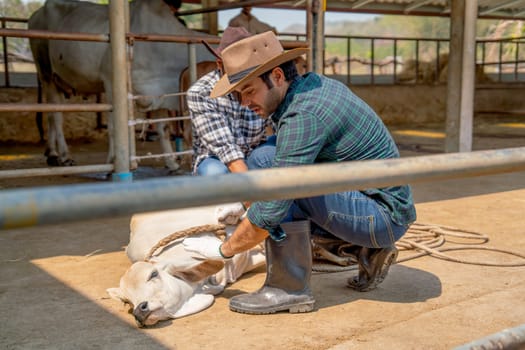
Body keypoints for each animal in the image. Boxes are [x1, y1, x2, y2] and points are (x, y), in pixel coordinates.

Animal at [27, 0, 213, 170]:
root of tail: (37, 13)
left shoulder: (156, 94)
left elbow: (164, 128)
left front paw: (171, 163)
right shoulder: (111, 82)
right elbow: (114, 126)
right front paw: (113, 161)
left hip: (59, 80)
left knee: (51, 113)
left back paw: (52, 153)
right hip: (46, 72)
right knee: (56, 115)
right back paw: (65, 156)